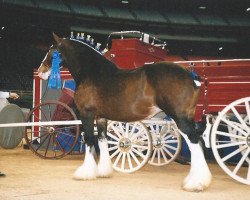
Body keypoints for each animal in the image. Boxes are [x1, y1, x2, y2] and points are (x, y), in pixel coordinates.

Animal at [38, 33, 212, 191]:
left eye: (52, 51)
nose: (40, 72)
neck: (93, 73)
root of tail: (191, 75)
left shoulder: (86, 115)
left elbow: (89, 140)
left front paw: (85, 173)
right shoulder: (101, 118)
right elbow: (102, 140)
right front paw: (104, 171)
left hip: (180, 119)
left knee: (194, 142)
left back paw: (195, 183)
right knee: (199, 142)